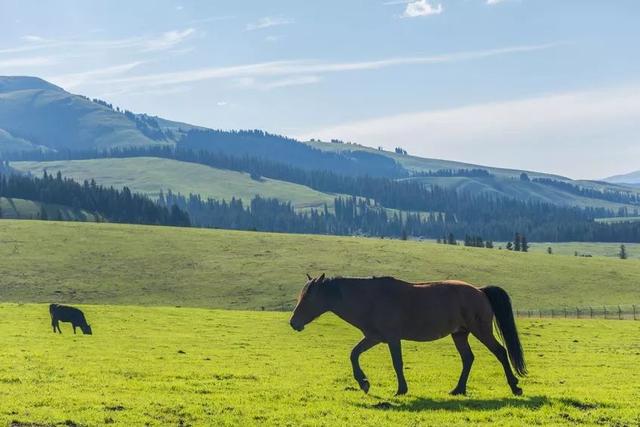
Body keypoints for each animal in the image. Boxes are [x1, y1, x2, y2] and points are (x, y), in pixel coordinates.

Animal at [290, 276, 524, 396]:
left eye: (308, 297)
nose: (294, 323)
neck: (370, 299)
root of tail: (479, 290)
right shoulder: (374, 337)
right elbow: (354, 354)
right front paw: (363, 382)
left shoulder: (392, 339)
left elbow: (397, 363)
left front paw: (401, 390)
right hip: (460, 334)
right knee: (468, 359)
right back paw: (458, 389)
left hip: (480, 330)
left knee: (500, 352)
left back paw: (514, 386)